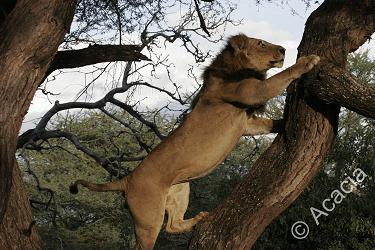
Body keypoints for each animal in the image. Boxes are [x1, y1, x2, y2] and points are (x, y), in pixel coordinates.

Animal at [70, 33, 320, 250]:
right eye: (261, 43)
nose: (283, 49)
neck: (234, 69)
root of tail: (127, 179)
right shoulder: (252, 91)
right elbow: (282, 76)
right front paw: (308, 61)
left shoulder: (247, 123)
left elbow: (268, 123)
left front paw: (284, 123)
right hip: (148, 219)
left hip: (180, 189)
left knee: (172, 226)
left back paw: (197, 220)